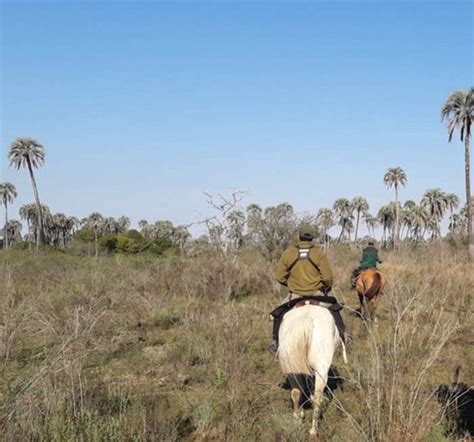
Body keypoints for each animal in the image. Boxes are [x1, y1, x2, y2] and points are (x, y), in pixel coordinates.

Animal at [278, 304, 348, 436]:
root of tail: (306, 318)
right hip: (322, 369)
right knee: (317, 397)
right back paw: (314, 430)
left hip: (292, 368)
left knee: (295, 392)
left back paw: (298, 418)